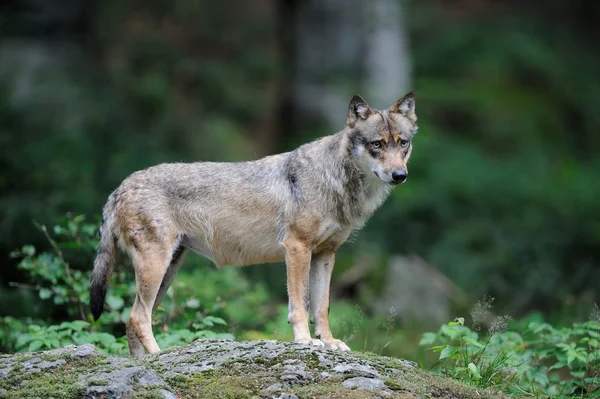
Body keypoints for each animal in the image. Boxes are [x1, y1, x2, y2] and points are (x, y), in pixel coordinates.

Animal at [89, 93, 418, 356]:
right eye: (377, 144)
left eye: (403, 144)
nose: (400, 175)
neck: (337, 181)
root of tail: (119, 187)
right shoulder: (297, 248)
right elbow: (300, 306)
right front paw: (306, 341)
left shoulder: (326, 255)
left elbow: (322, 307)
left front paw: (329, 342)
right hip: (156, 269)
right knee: (137, 317)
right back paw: (159, 356)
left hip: (167, 272)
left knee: (132, 321)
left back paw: (140, 363)